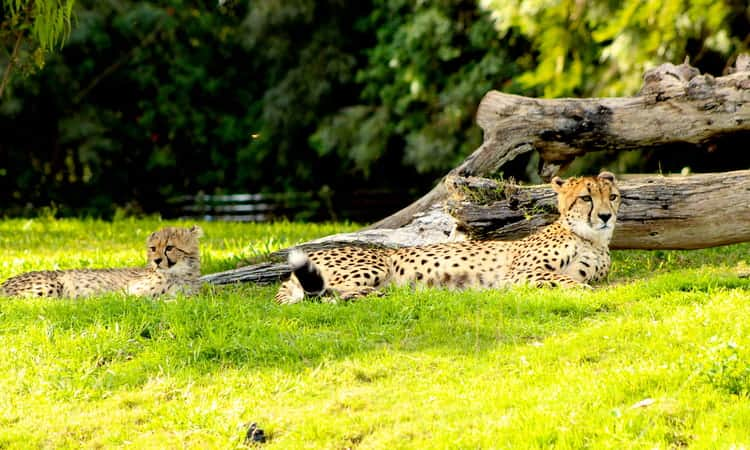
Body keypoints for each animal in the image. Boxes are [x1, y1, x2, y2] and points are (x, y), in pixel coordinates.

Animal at [0, 225, 206, 298]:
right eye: (153, 248)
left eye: (169, 247)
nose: (156, 261)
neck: (180, 273)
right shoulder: (132, 295)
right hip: (49, 286)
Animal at [276, 171, 624, 304]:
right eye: (586, 198)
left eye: (613, 197)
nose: (606, 217)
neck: (589, 239)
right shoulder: (522, 273)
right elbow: (564, 280)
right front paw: (584, 291)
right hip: (373, 266)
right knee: (325, 292)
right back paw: (378, 294)